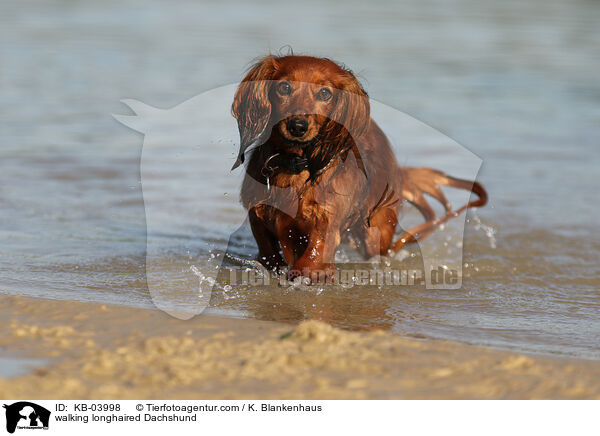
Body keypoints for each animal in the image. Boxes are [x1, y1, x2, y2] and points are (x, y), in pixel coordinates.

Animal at [231, 55, 488, 282]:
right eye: (283, 87)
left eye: (324, 93)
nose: (298, 126)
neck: (297, 166)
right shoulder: (259, 217)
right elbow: (269, 254)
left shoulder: (326, 223)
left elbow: (311, 261)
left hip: (376, 232)